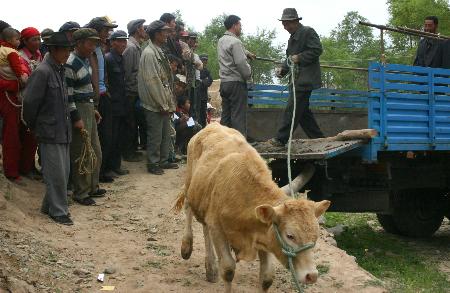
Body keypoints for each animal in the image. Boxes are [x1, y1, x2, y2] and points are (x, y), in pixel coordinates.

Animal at [176, 122, 330, 290]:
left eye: (316, 237)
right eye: (290, 235)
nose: (311, 275)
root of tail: (213, 124)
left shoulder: (264, 235)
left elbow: (267, 277)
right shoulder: (217, 229)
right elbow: (228, 270)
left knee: (204, 226)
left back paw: (211, 268)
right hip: (190, 184)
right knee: (189, 208)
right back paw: (187, 247)